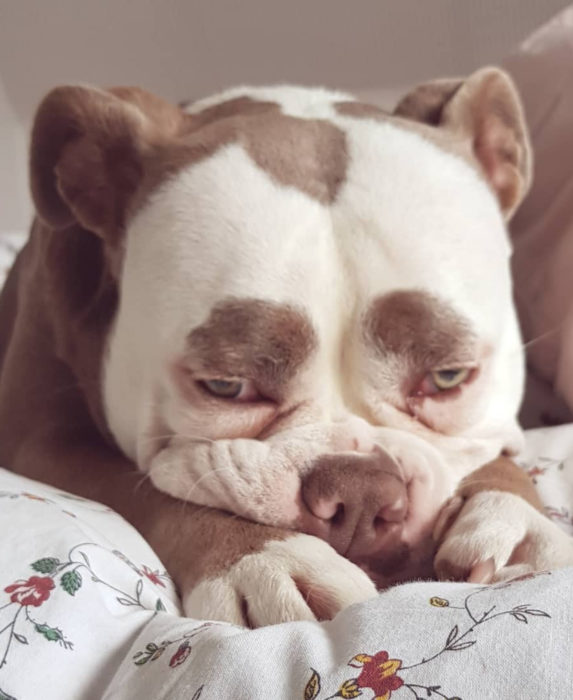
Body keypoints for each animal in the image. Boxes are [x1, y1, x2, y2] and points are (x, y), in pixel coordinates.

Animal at [1, 68, 572, 628]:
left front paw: (514, 518)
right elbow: (149, 493)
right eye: (225, 386)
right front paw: (263, 560)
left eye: (448, 376)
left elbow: (499, 455)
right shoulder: (40, 442)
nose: (360, 492)